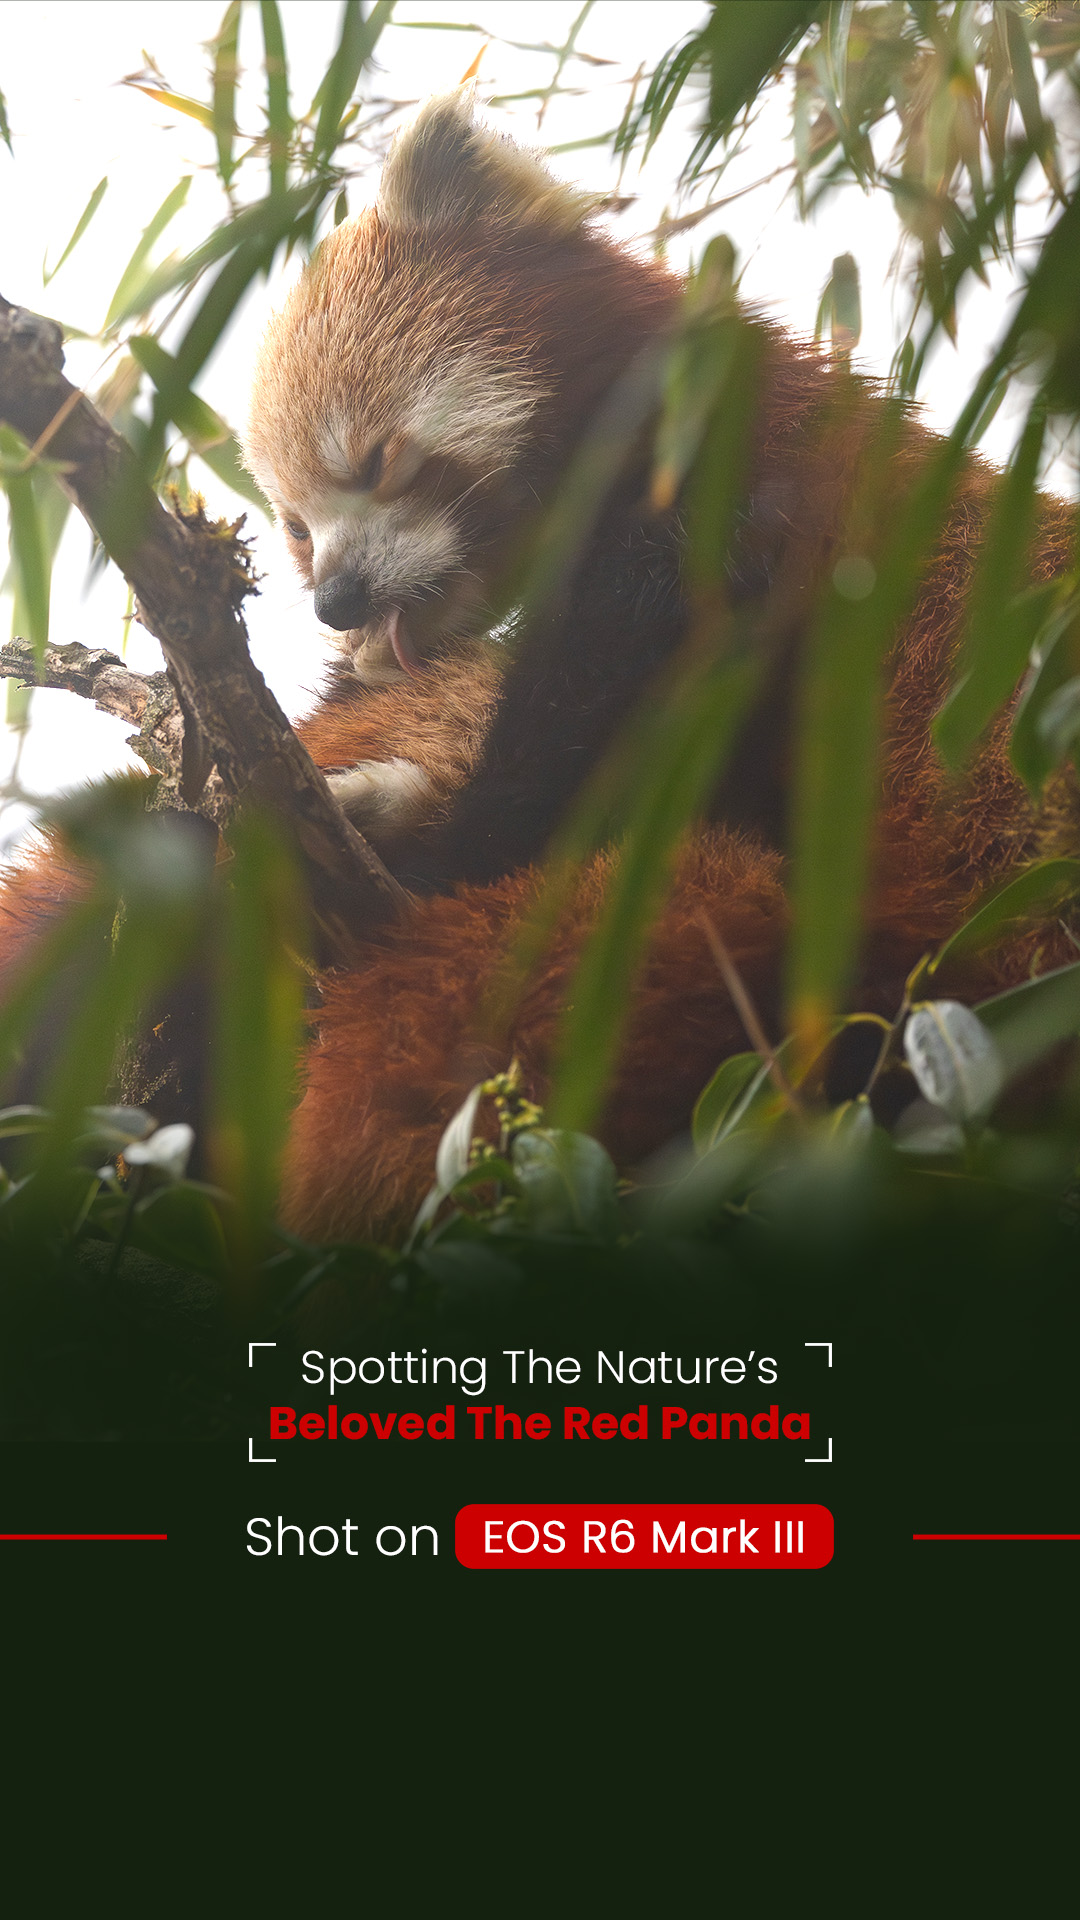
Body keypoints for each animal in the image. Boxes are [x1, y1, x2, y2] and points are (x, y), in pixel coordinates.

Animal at [2, 94, 1077, 1245]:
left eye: (374, 460)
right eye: (292, 528)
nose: (338, 601)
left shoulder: (729, 524)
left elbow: (573, 767)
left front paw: (419, 831)